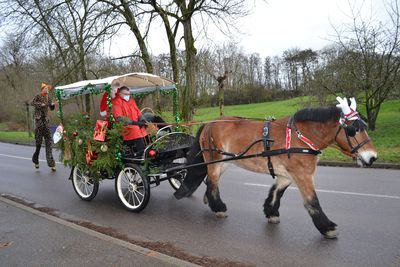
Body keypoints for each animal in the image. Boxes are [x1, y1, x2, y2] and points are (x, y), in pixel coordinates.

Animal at [175, 98, 378, 239]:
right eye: (354, 129)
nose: (373, 157)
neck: (300, 137)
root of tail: (208, 124)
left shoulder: (287, 174)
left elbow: (276, 192)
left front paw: (271, 212)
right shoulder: (303, 175)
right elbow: (312, 202)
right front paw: (327, 228)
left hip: (224, 161)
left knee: (211, 181)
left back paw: (209, 201)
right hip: (215, 160)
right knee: (213, 181)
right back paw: (219, 207)